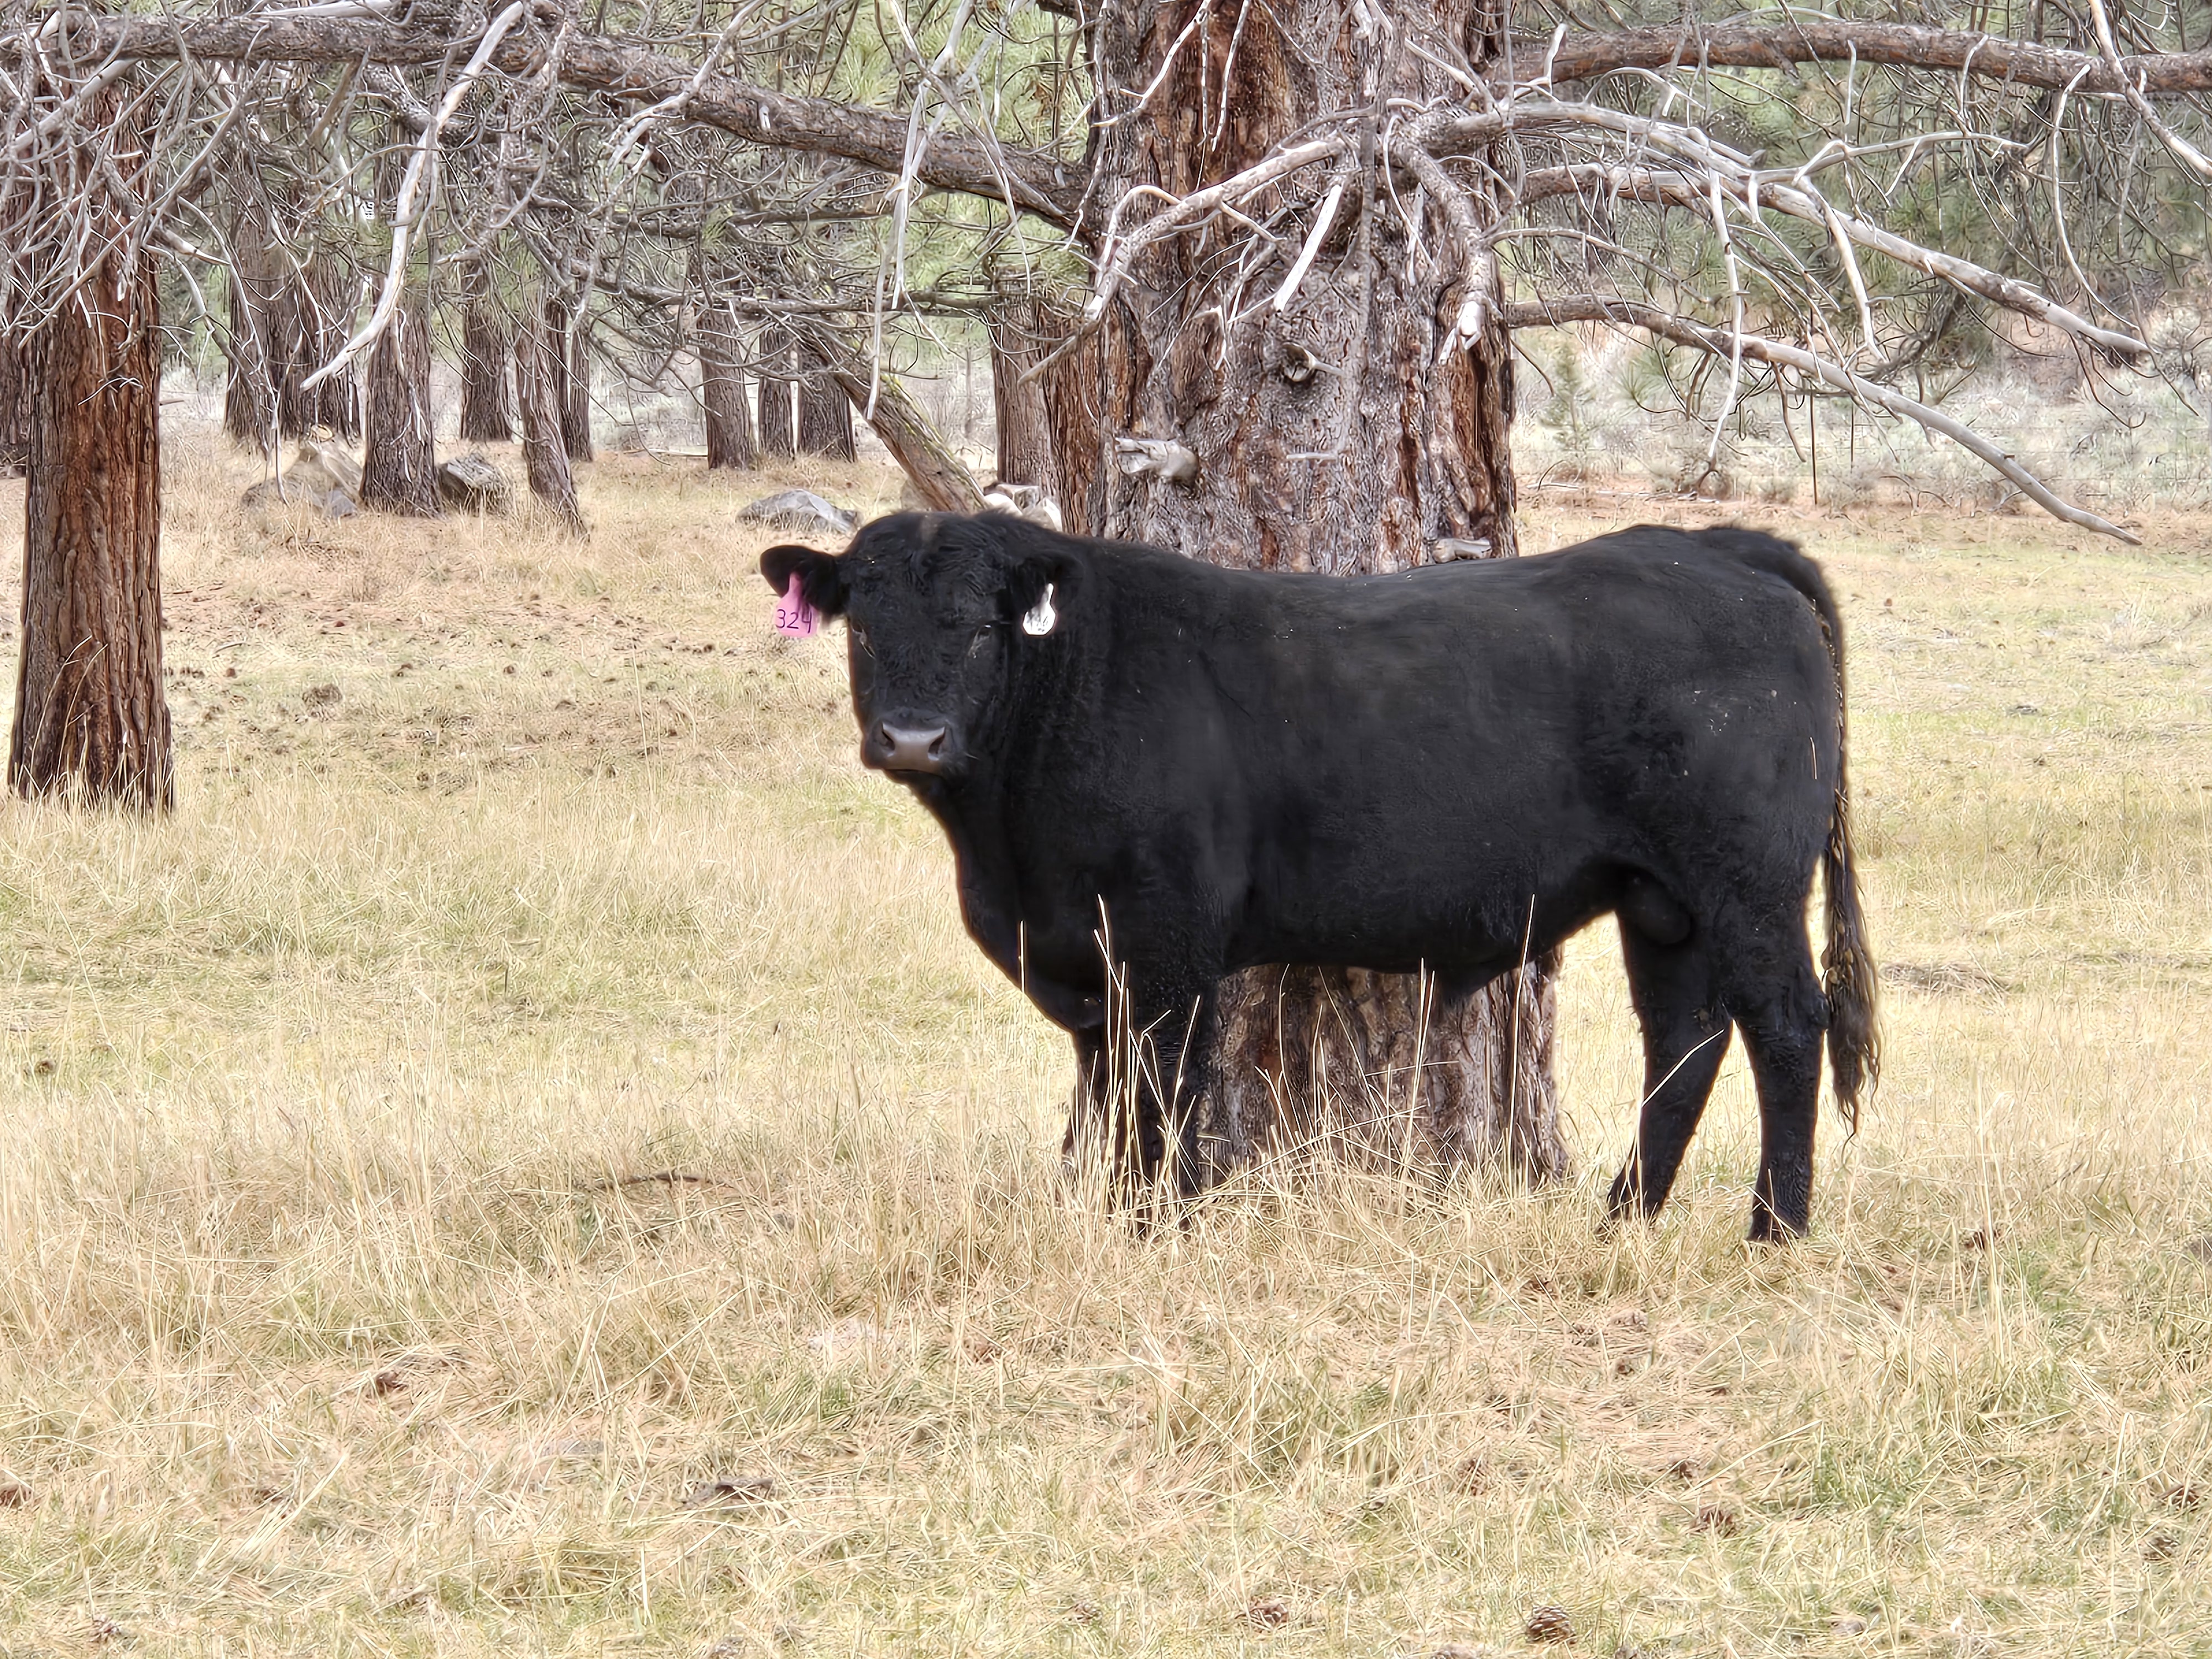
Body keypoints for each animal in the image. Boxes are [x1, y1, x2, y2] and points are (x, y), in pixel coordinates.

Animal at [760, 512, 1878, 1239]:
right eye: (865, 624)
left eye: (983, 626)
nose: (914, 738)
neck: (1006, 856)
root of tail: (1717, 546)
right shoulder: (1084, 947)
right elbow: (1108, 1080)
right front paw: (1110, 1206)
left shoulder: (1166, 934)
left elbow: (1164, 1081)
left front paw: (1158, 1223)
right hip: (1664, 903)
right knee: (1684, 1042)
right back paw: (1624, 1218)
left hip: (1746, 884)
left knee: (1785, 1025)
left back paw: (1774, 1230)